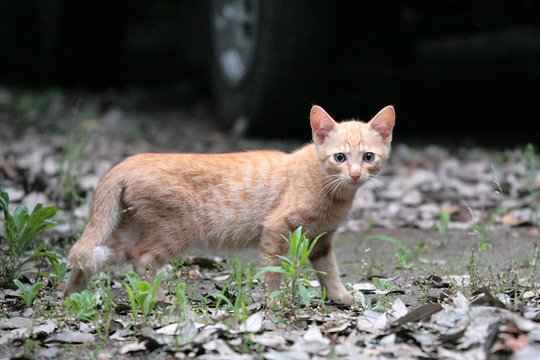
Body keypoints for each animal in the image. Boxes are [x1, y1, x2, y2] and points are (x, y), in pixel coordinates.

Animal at [63, 104, 394, 304]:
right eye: (340, 157)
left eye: (368, 157)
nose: (355, 174)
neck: (333, 191)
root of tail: (129, 161)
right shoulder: (276, 228)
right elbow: (274, 271)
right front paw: (275, 301)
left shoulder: (322, 239)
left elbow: (329, 269)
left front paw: (340, 296)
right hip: (176, 229)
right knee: (141, 258)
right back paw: (155, 298)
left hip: (129, 230)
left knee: (91, 257)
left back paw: (69, 297)